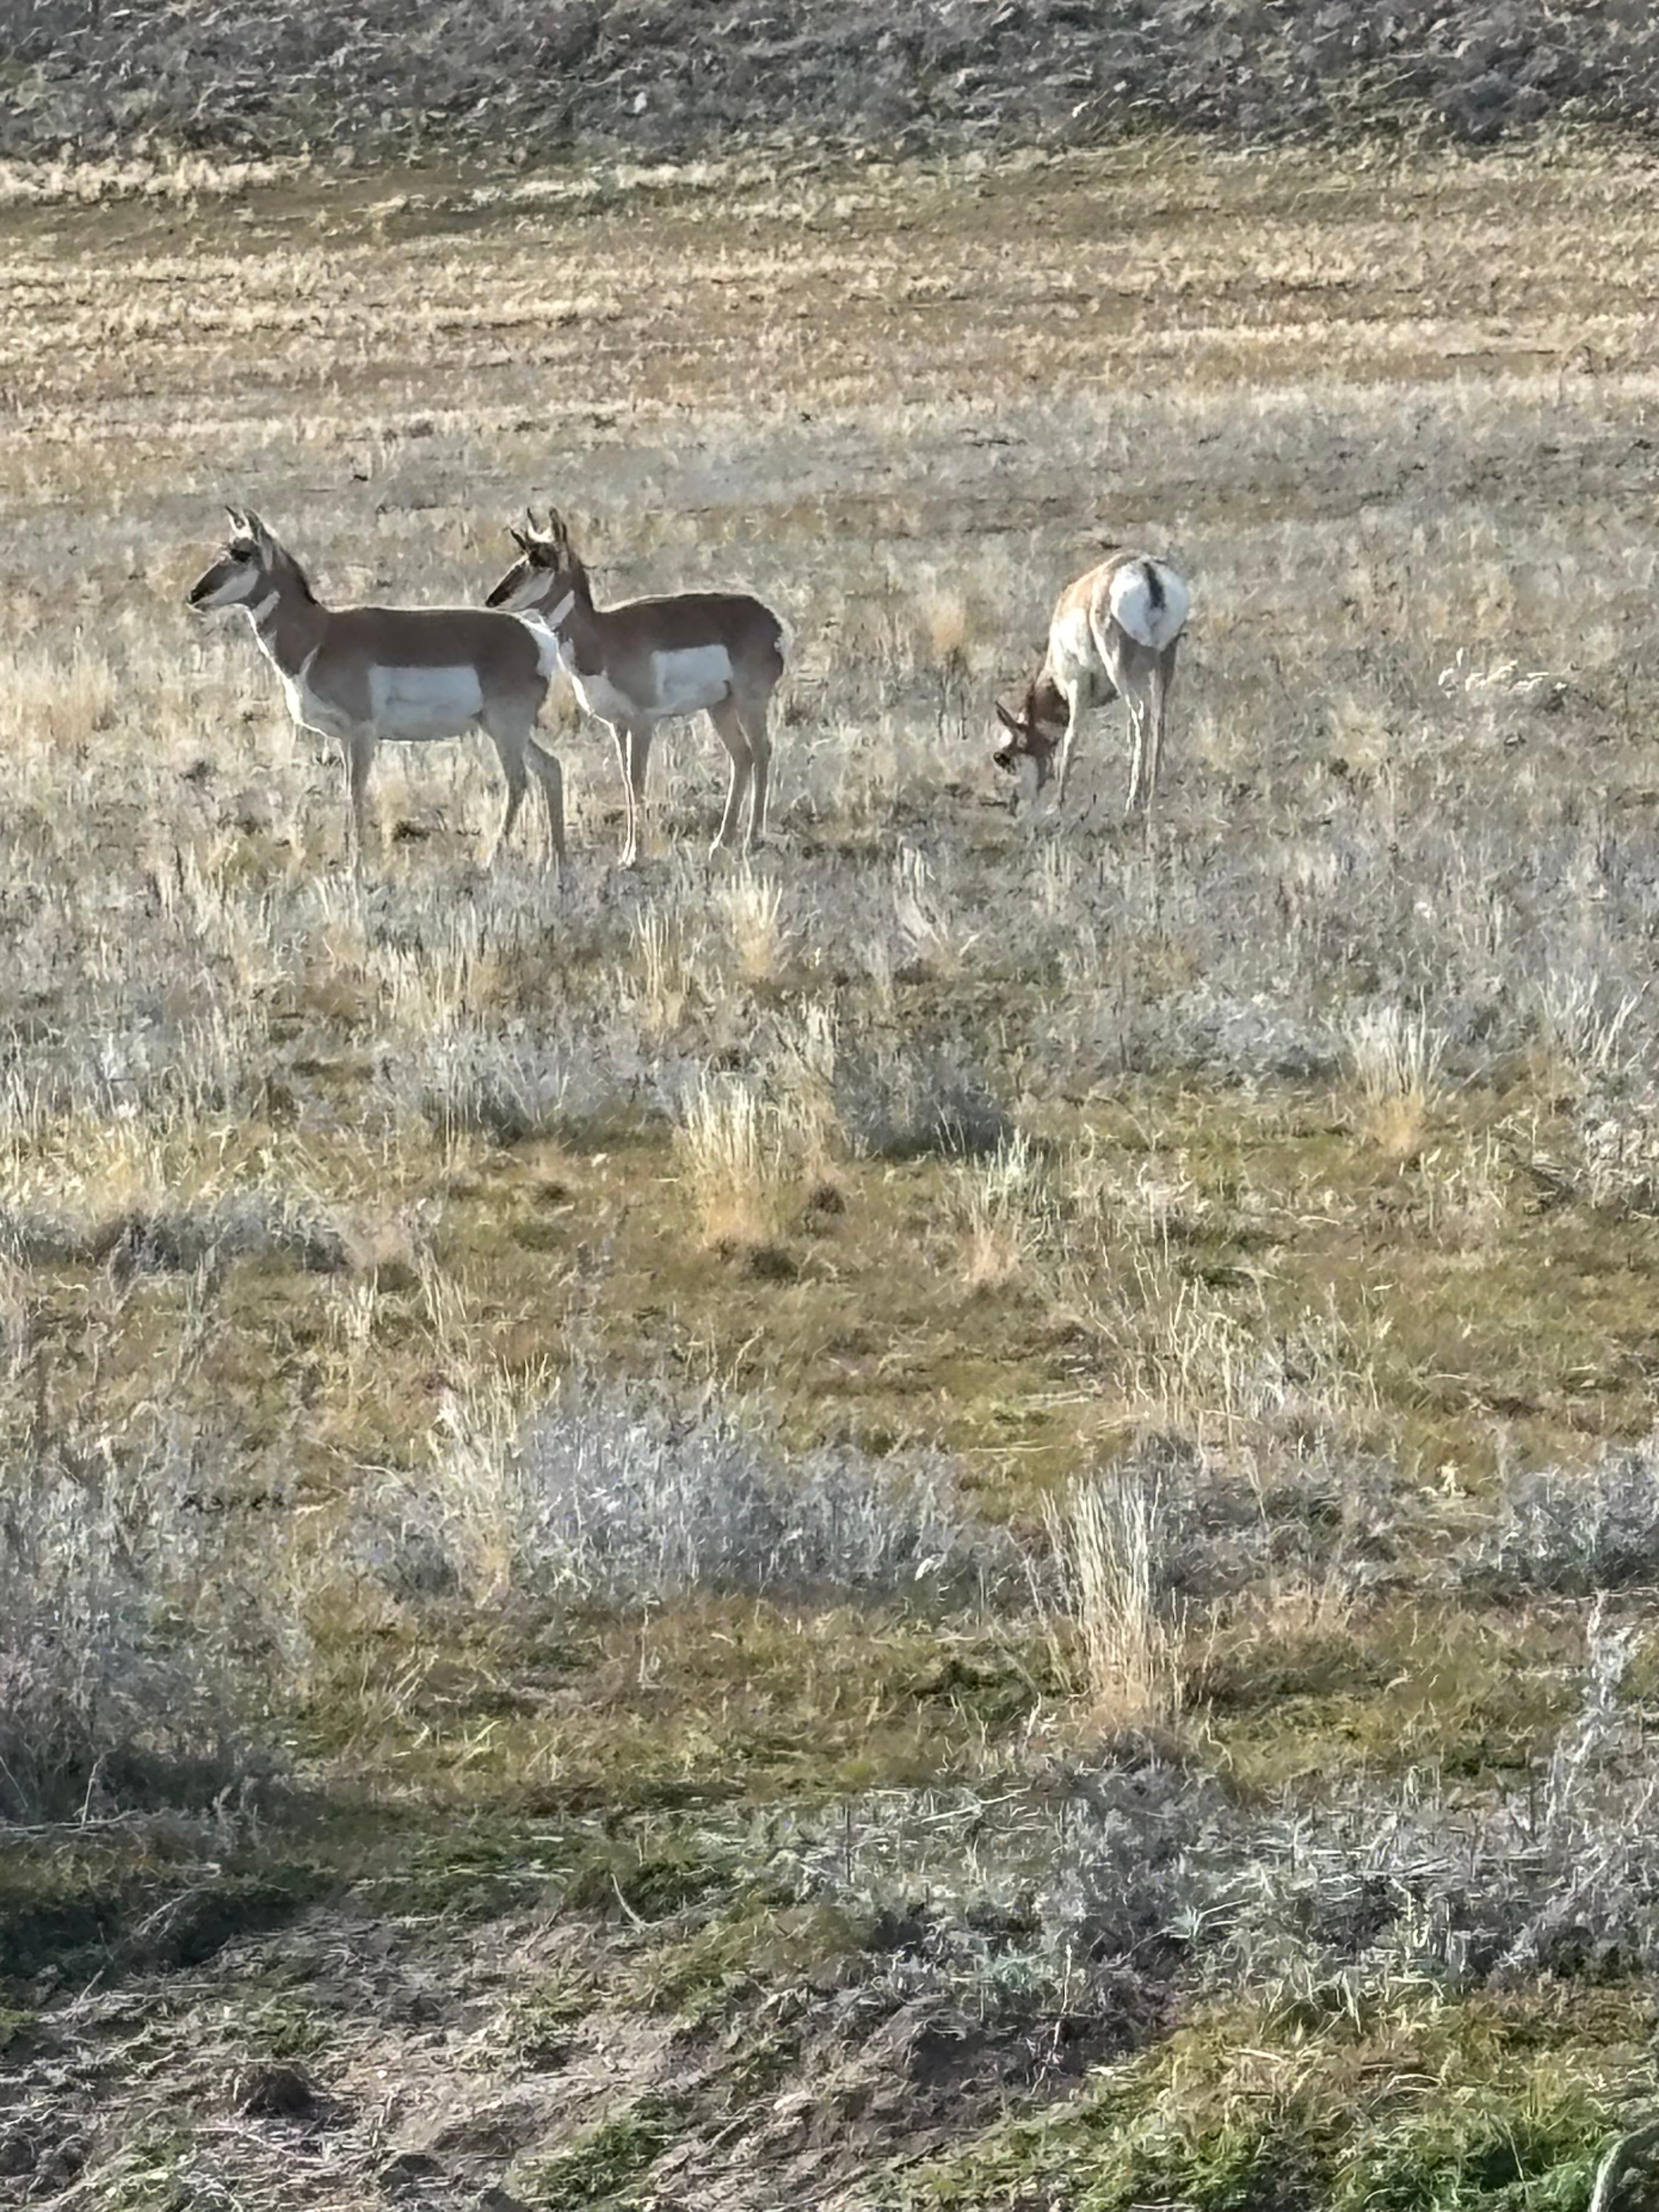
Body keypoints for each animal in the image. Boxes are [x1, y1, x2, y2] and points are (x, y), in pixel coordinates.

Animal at [186, 508, 566, 871]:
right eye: (223, 549)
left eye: (242, 553)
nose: (193, 595)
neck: (320, 636)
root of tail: (537, 637)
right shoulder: (343, 738)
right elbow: (347, 794)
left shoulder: (362, 732)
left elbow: (356, 794)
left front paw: (357, 869)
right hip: (502, 728)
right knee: (550, 768)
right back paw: (557, 865)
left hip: (506, 729)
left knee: (519, 782)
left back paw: (492, 861)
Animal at [484, 508, 786, 866]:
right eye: (520, 556)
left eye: (540, 559)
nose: (493, 600)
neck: (603, 637)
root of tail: (770, 619)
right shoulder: (618, 725)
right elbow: (628, 778)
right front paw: (627, 852)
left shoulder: (644, 723)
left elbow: (639, 778)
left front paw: (635, 856)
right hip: (720, 707)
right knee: (742, 757)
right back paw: (721, 843)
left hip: (750, 701)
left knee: (762, 753)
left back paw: (752, 840)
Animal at [993, 550, 1190, 815]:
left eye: (1005, 758)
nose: (1013, 806)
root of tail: (1144, 566)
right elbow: (1131, 735)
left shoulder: (1077, 686)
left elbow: (1071, 738)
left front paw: (1058, 803)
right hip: (1164, 662)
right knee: (1157, 720)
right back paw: (1149, 796)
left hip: (1119, 669)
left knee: (1142, 713)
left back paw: (1133, 802)